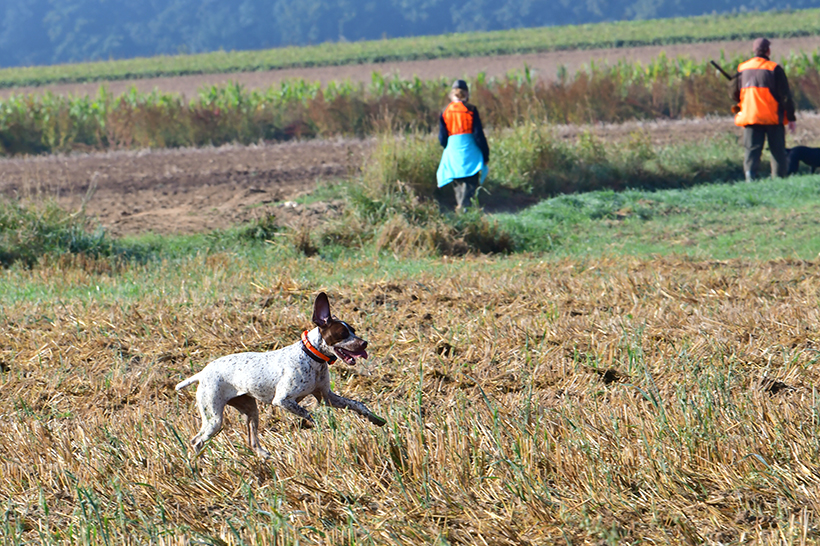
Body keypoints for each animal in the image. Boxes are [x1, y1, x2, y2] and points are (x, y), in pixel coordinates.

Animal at [175, 292, 386, 456]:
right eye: (342, 333)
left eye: (354, 330)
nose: (364, 343)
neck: (311, 356)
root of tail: (202, 373)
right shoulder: (283, 400)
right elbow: (309, 414)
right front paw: (322, 428)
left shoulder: (327, 397)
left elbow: (357, 405)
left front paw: (376, 419)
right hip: (214, 419)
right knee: (196, 441)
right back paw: (198, 466)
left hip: (251, 411)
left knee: (252, 441)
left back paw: (264, 456)